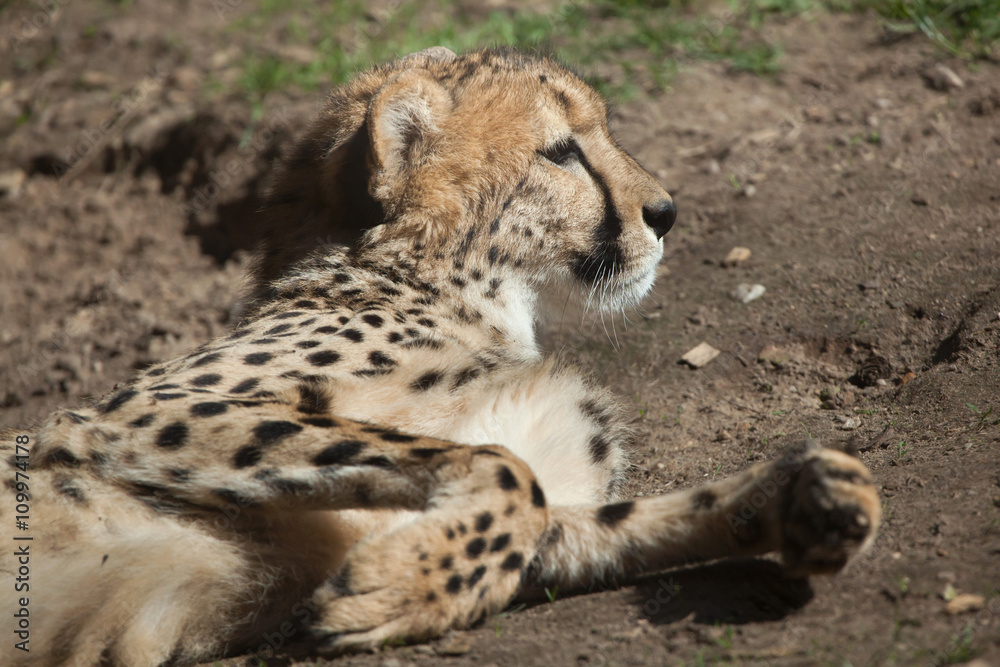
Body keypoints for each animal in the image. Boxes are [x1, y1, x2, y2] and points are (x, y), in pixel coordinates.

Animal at [0, 46, 880, 666]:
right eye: (561, 151)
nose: (665, 211)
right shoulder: (141, 414)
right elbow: (504, 471)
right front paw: (394, 587)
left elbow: (580, 518)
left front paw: (803, 493)